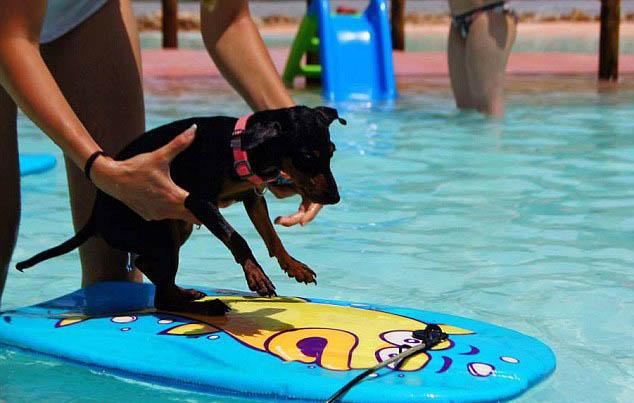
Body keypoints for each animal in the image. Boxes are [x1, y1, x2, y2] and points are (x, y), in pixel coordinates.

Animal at [16, 105, 340, 318]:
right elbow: (237, 238)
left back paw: (187, 293)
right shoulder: (199, 202)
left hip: (174, 227)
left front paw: (293, 266)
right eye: (307, 156)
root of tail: (94, 217)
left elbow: (272, 236)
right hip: (160, 228)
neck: (238, 145)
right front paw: (256, 274)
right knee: (160, 292)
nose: (334, 198)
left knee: (152, 274)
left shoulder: (252, 196)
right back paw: (207, 306)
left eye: (332, 152)